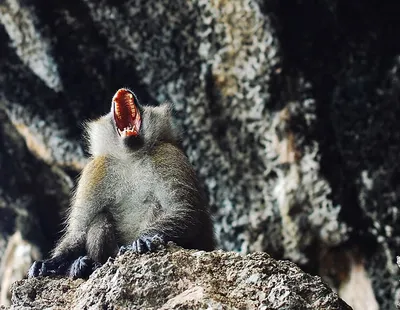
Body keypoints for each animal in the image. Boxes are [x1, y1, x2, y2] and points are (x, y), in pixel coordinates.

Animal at [27, 87, 216, 278]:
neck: (131, 157)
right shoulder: (96, 170)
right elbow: (79, 230)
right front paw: (51, 263)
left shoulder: (168, 155)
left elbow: (185, 211)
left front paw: (145, 239)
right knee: (99, 219)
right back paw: (88, 264)